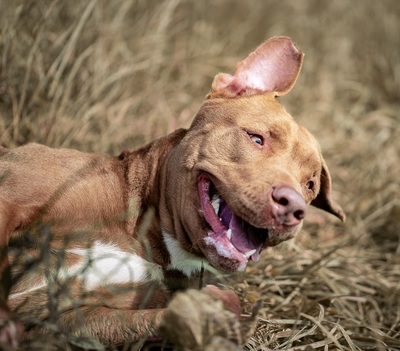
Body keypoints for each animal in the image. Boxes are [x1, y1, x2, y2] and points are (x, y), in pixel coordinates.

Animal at [0, 37, 344, 348]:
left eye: (310, 184)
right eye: (256, 138)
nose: (294, 206)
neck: (155, 243)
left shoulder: (62, 317)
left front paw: (214, 315)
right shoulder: (11, 197)